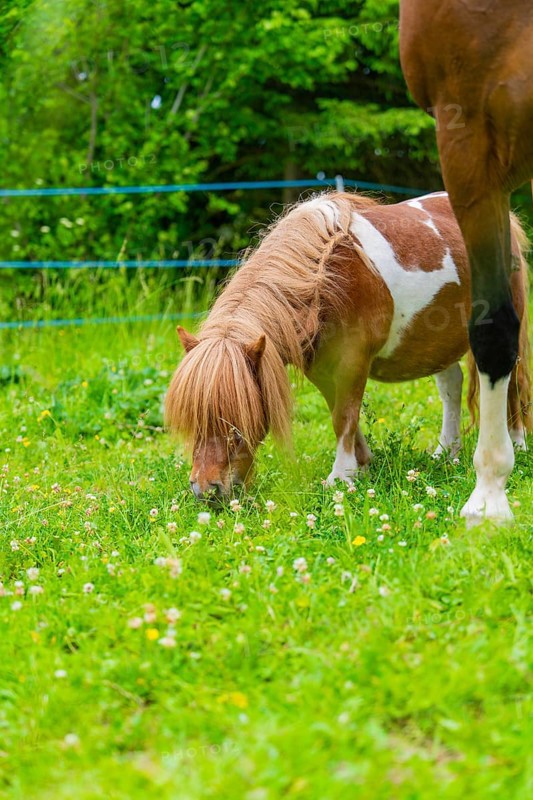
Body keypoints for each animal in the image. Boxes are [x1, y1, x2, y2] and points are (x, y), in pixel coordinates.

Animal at [165, 191, 531, 502]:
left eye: (237, 421)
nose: (205, 490)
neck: (322, 282)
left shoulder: (352, 363)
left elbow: (344, 417)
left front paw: (341, 476)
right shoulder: (325, 371)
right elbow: (341, 415)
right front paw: (363, 464)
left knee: (510, 385)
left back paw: (516, 444)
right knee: (451, 386)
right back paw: (447, 451)